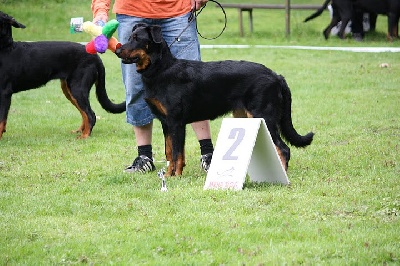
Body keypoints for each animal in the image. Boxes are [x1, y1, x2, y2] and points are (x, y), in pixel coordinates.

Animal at [0, 10, 125, 139]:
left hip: (77, 88)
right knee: (85, 113)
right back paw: (80, 131)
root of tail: (95, 56)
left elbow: (1, 119)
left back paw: (84, 136)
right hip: (69, 90)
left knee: (90, 115)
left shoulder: (5, 92)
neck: (5, 48)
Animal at [114, 23, 314, 177]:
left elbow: (177, 153)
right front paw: (170, 174)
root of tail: (276, 76)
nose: (117, 49)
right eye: (129, 37)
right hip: (246, 117)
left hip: (264, 116)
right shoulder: (166, 123)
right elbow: (170, 151)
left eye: (137, 38)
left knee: (283, 149)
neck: (161, 69)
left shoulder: (176, 122)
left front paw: (174, 176)